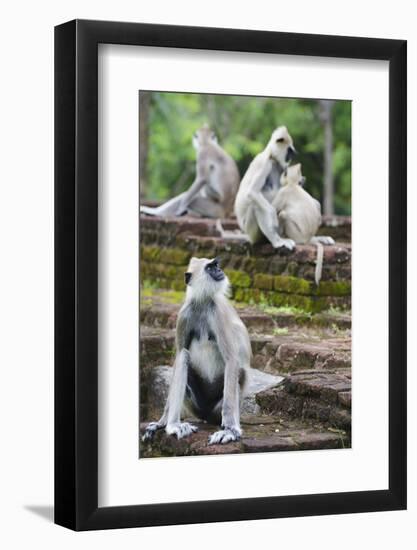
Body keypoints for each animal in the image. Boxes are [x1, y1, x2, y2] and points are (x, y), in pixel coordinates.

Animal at [141, 258, 250, 444]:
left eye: (216, 265)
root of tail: (206, 415)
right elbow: (179, 356)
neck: (202, 303)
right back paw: (173, 425)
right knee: (183, 356)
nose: (220, 270)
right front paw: (161, 422)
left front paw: (229, 430)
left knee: (239, 372)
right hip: (195, 405)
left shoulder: (217, 312)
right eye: (210, 267)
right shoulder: (184, 314)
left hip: (218, 408)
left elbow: (231, 359)